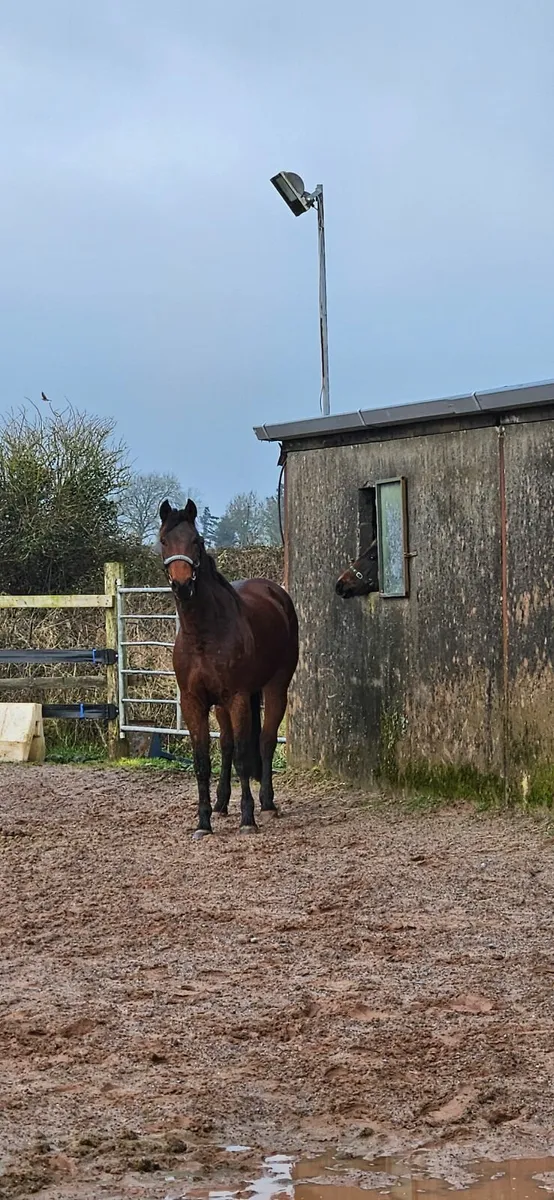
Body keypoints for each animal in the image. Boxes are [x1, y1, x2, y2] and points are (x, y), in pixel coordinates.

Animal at [159, 499, 299, 839]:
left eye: (196, 541)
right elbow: (203, 761)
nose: (182, 585)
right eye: (164, 540)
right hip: (222, 705)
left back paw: (267, 803)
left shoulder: (238, 697)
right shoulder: (194, 702)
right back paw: (222, 804)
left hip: (274, 688)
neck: (203, 634)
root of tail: (275, 592)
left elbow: (244, 755)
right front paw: (203, 822)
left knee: (264, 741)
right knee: (226, 745)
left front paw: (247, 819)